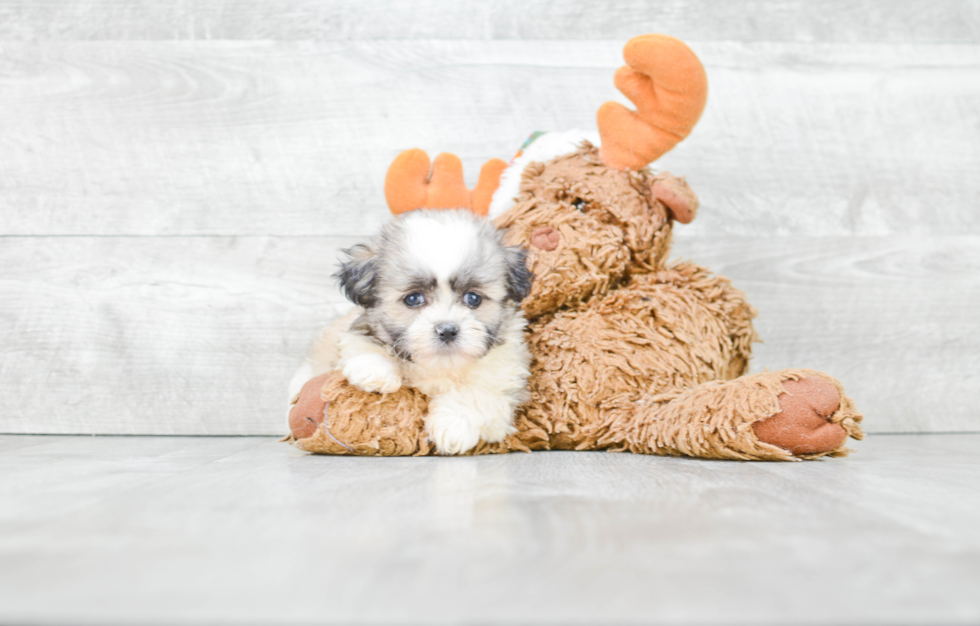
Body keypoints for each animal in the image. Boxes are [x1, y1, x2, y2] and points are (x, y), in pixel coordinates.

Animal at [290, 210, 532, 454]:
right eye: (413, 298)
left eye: (473, 298)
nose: (447, 330)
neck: (441, 366)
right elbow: (359, 342)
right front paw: (374, 369)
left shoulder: (505, 376)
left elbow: (479, 394)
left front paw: (452, 426)